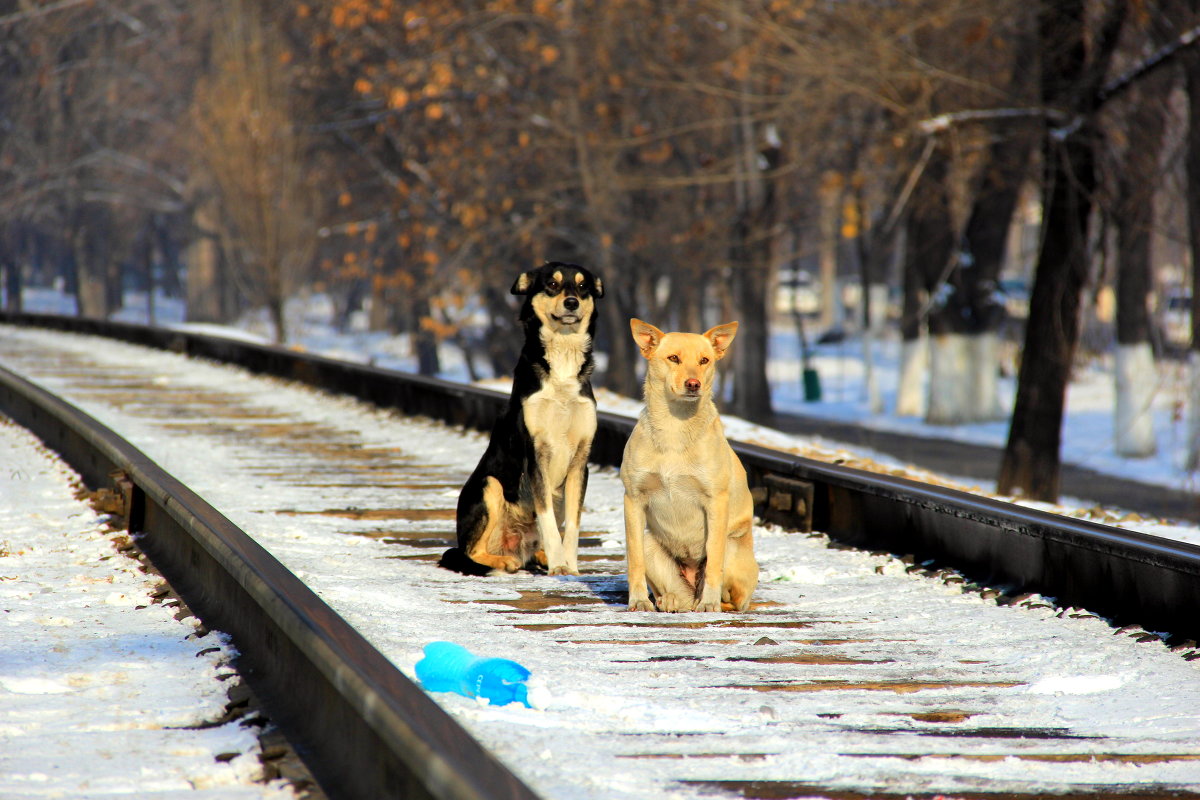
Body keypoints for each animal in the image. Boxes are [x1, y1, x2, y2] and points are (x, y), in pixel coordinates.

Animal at [441, 266, 604, 578]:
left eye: (583, 287)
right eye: (552, 283)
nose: (572, 303)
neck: (562, 357)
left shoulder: (580, 461)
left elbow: (573, 525)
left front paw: (570, 566)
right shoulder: (536, 456)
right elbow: (548, 521)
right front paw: (559, 566)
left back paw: (538, 556)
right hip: (489, 485)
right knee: (469, 552)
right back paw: (506, 561)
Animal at [619, 319, 758, 614]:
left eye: (704, 360)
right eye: (673, 358)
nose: (693, 383)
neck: (675, 426)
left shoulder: (716, 501)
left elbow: (714, 561)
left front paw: (710, 603)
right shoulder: (633, 499)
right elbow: (634, 560)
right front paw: (638, 600)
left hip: (731, 546)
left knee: (731, 598)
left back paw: (709, 602)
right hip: (651, 544)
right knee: (682, 597)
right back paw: (669, 600)